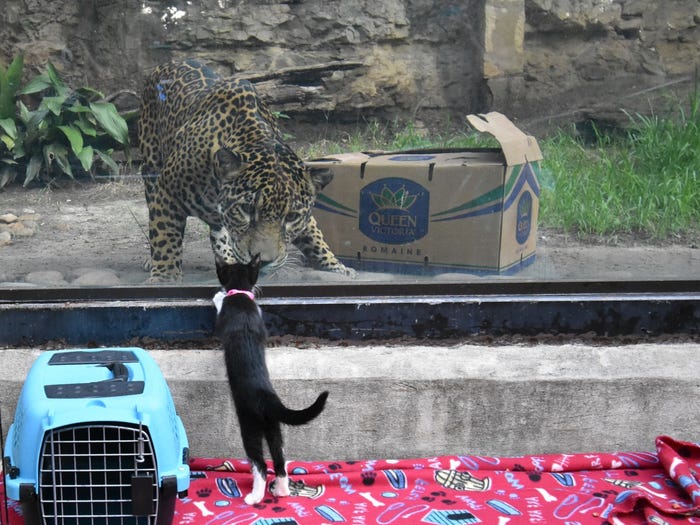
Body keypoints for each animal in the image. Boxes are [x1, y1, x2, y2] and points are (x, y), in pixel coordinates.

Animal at [212, 254, 330, 504]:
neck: (241, 295)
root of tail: (268, 398)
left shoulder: (223, 320)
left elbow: (220, 309)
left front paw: (218, 296)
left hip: (250, 424)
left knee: (260, 463)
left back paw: (254, 496)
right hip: (274, 427)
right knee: (279, 459)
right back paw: (282, 490)